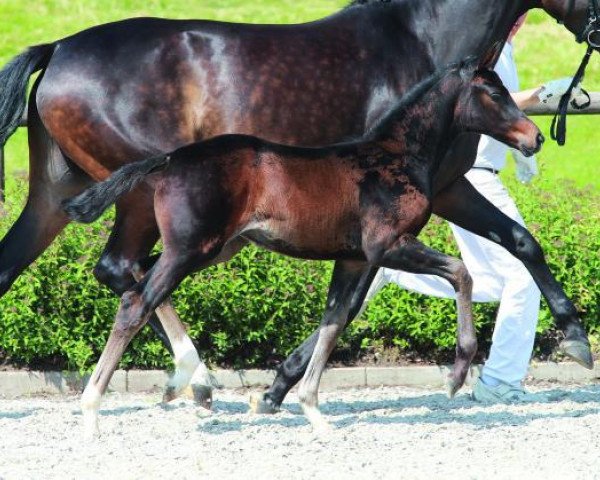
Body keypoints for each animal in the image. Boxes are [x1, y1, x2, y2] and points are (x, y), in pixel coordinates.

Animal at [65, 62, 544, 436]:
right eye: (495, 94)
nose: (536, 137)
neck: (395, 156)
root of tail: (169, 159)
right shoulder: (387, 246)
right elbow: (461, 273)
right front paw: (458, 372)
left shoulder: (352, 260)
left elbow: (333, 321)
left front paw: (312, 410)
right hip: (191, 250)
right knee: (135, 301)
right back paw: (92, 412)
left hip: (213, 249)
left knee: (133, 277)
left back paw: (181, 379)